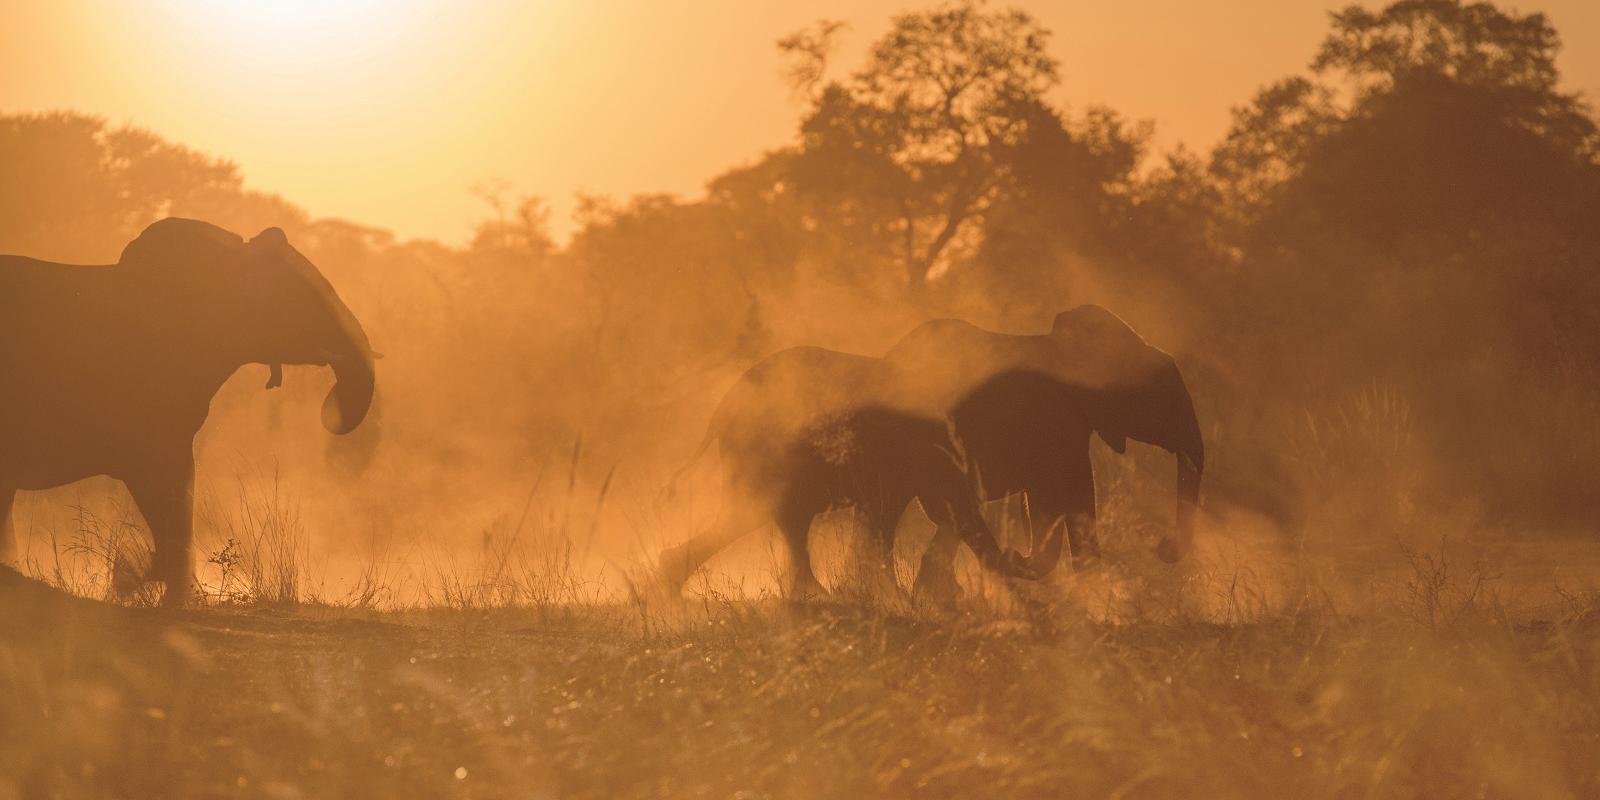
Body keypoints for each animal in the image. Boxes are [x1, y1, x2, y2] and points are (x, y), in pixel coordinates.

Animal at [0, 219, 377, 604]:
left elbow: (180, 484)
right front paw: (157, 586)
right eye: (309, 299)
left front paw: (153, 582)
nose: (330, 412)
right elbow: (164, 484)